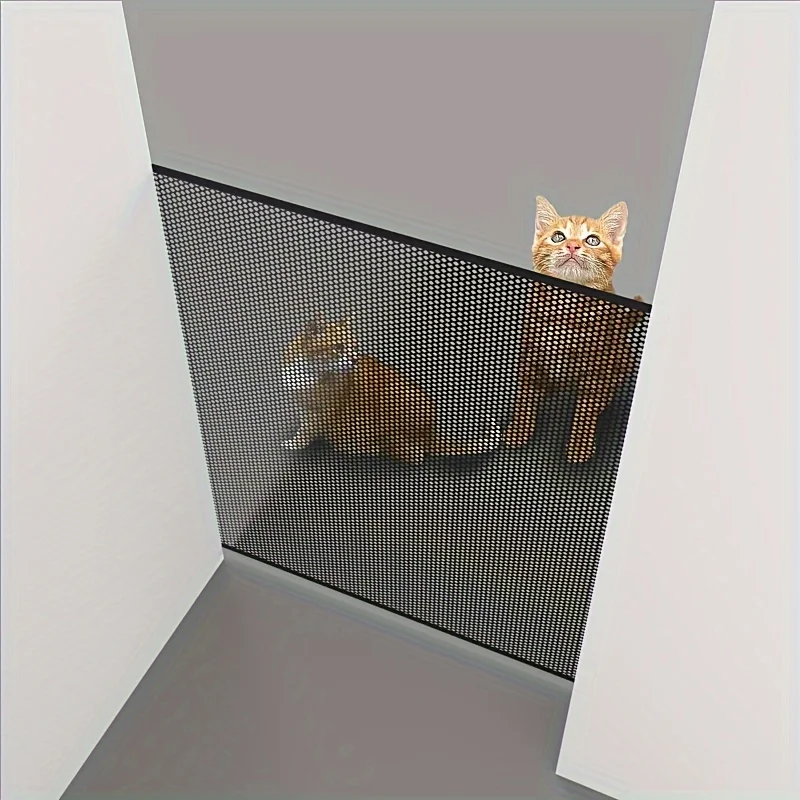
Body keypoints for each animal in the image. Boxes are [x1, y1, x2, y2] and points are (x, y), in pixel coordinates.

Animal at [280, 316, 502, 464]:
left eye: (355, 348)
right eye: (339, 348)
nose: (354, 360)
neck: (308, 373)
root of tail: (431, 431)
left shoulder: (322, 412)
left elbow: (307, 430)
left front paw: (295, 443)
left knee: (411, 453)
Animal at [504, 196, 645, 463]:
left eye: (592, 240)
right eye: (558, 236)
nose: (571, 246)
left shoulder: (597, 369)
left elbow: (586, 409)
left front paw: (580, 445)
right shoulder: (530, 358)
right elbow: (525, 398)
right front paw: (519, 429)